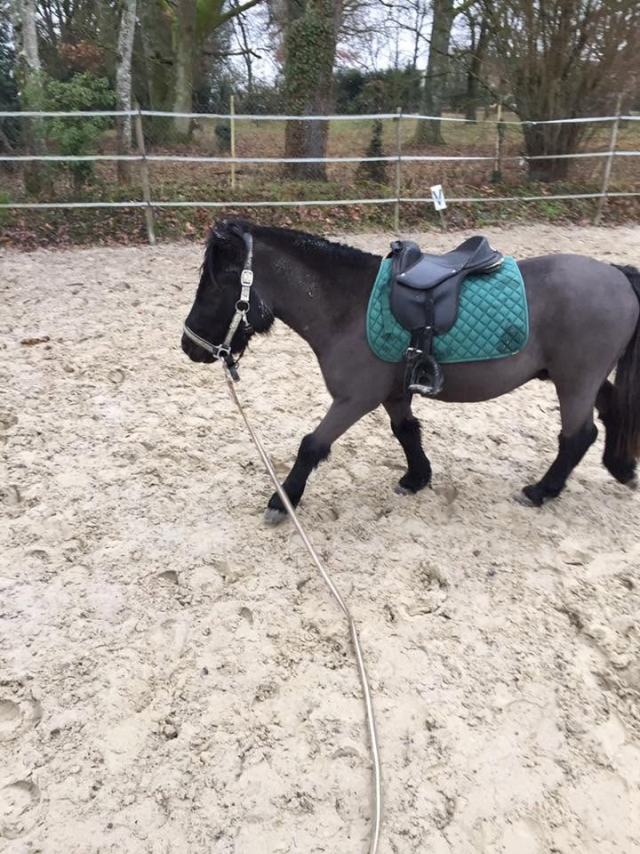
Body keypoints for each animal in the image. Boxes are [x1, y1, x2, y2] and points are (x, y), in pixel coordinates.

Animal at [181, 218, 640, 522]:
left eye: (216, 283)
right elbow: (406, 431)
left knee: (578, 435)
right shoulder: (393, 393)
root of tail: (617, 274)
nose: (190, 345)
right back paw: (619, 466)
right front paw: (417, 477)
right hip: (578, 377)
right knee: (611, 410)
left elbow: (312, 444)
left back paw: (542, 490)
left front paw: (284, 500)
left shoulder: (355, 398)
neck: (347, 305)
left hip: (575, 380)